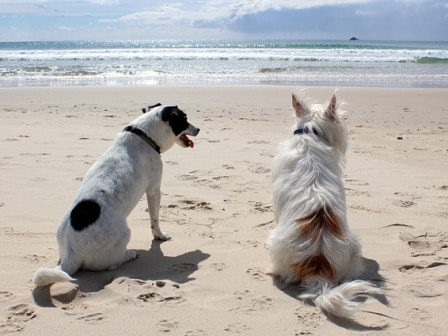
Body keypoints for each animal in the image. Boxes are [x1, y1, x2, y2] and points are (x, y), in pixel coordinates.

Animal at [33, 103, 198, 286]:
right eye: (184, 119)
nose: (198, 129)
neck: (144, 135)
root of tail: (72, 253)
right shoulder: (154, 190)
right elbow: (155, 220)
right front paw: (160, 236)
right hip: (125, 234)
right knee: (112, 264)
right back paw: (129, 254)